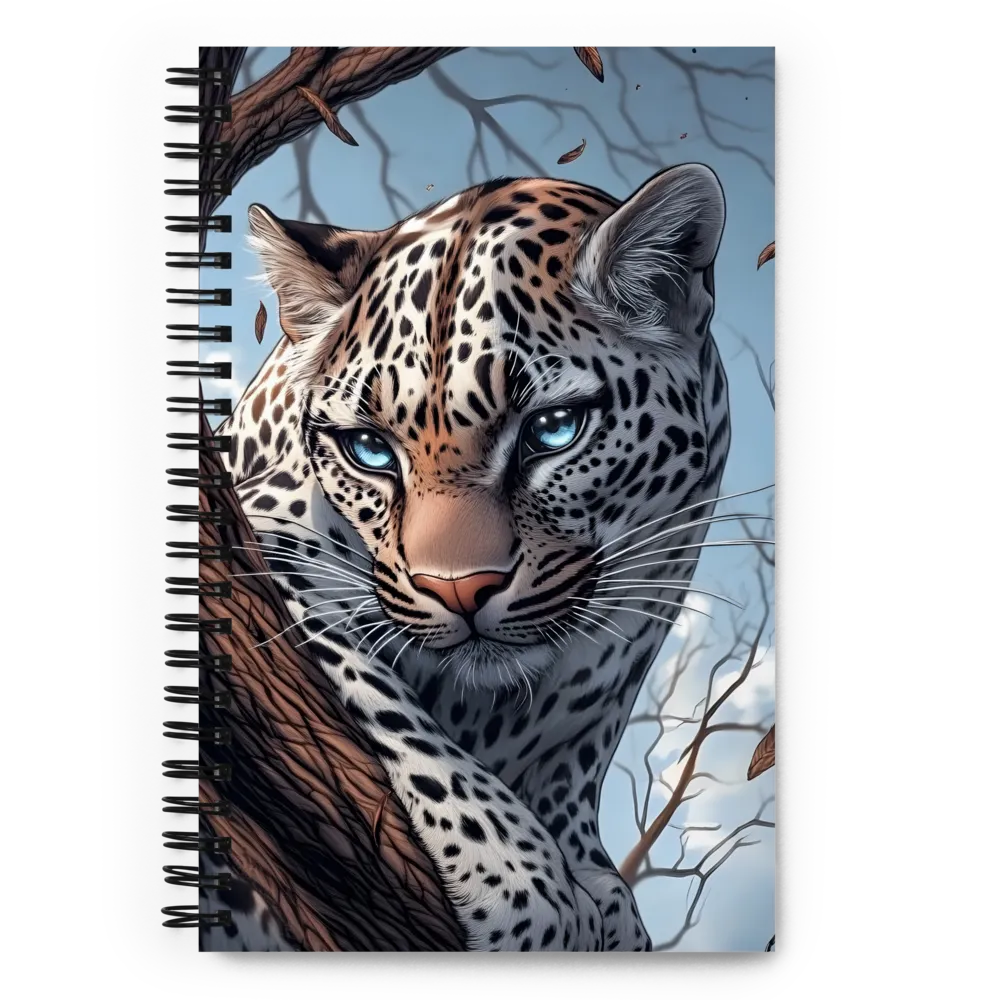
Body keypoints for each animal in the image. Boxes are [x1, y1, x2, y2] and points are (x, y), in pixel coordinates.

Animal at [199, 163, 732, 952]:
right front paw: (525, 887)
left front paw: (594, 881)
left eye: (553, 429)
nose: (458, 591)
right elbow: (392, 709)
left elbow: (576, 756)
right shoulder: (263, 530)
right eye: (368, 449)